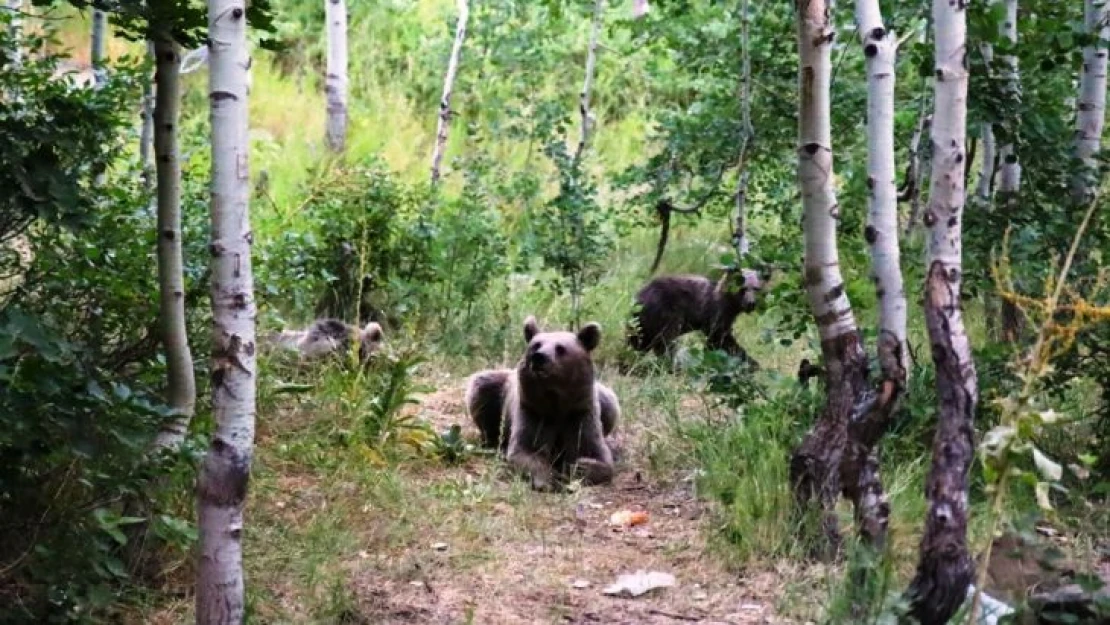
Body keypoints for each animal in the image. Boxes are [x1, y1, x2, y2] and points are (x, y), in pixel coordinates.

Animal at [463, 315, 621, 490]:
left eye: (560, 348)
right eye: (536, 345)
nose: (539, 357)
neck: (556, 402)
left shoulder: (580, 413)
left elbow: (597, 454)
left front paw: (581, 466)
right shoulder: (534, 411)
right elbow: (526, 451)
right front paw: (548, 479)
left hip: (604, 398)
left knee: (611, 406)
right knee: (482, 390)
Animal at [626, 265, 763, 364]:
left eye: (756, 288)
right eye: (743, 289)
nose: (751, 303)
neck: (731, 305)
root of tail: (640, 296)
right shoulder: (715, 313)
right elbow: (719, 338)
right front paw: (751, 362)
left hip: (644, 320)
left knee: (640, 339)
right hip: (667, 312)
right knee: (665, 341)